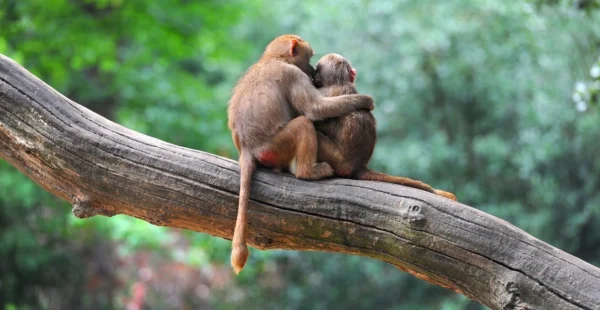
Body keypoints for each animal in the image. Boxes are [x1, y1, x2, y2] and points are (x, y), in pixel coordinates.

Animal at [226, 35, 372, 274]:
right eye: (309, 58)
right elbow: (314, 110)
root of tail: (247, 148)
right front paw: (365, 101)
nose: (312, 72)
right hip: (275, 146)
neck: (273, 58)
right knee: (303, 123)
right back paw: (308, 172)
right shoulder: (293, 75)